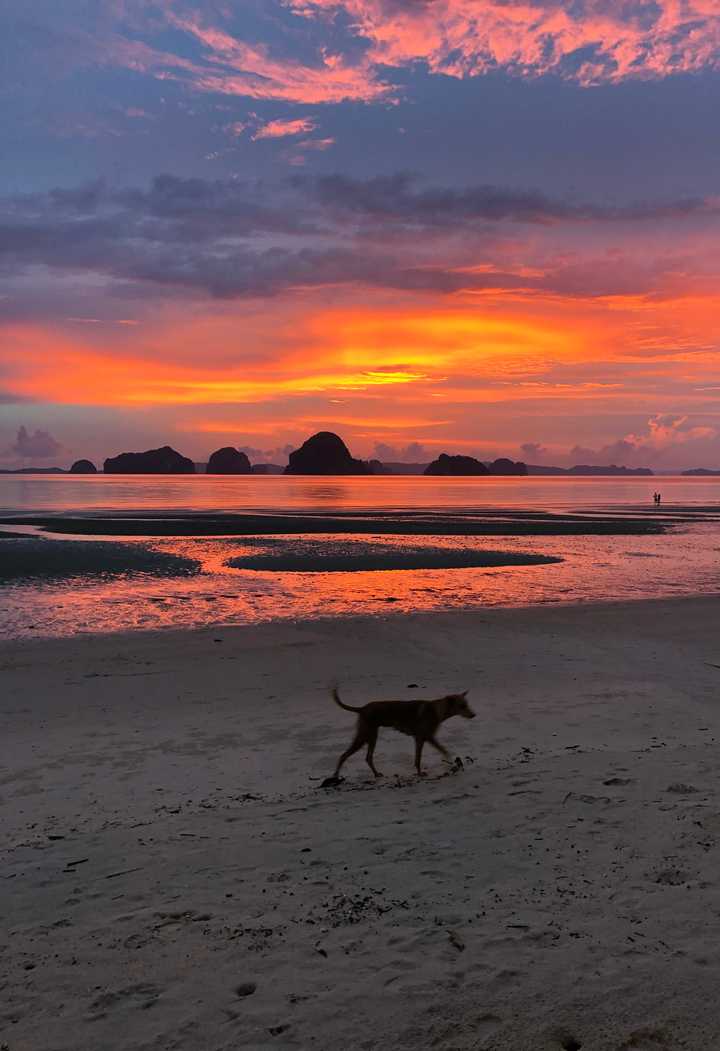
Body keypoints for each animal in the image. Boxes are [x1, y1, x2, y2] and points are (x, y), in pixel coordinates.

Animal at [327, 689, 475, 781]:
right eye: (462, 706)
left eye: (466, 704)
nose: (473, 715)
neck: (437, 709)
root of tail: (362, 708)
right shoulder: (425, 737)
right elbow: (433, 754)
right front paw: (422, 773)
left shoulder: (421, 739)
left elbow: (419, 758)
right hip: (364, 737)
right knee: (344, 755)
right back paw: (335, 775)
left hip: (372, 737)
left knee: (368, 758)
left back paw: (376, 774)